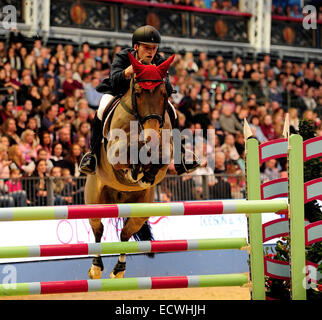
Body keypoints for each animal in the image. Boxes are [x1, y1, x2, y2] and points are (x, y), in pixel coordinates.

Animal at [84, 52, 175, 278]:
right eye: (138, 93)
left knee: (125, 234)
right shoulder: (115, 151)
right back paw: (96, 268)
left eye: (163, 93)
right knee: (98, 230)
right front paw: (135, 169)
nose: (151, 135)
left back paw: (118, 270)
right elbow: (127, 152)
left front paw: (145, 174)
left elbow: (159, 158)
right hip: (95, 201)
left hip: (139, 211)